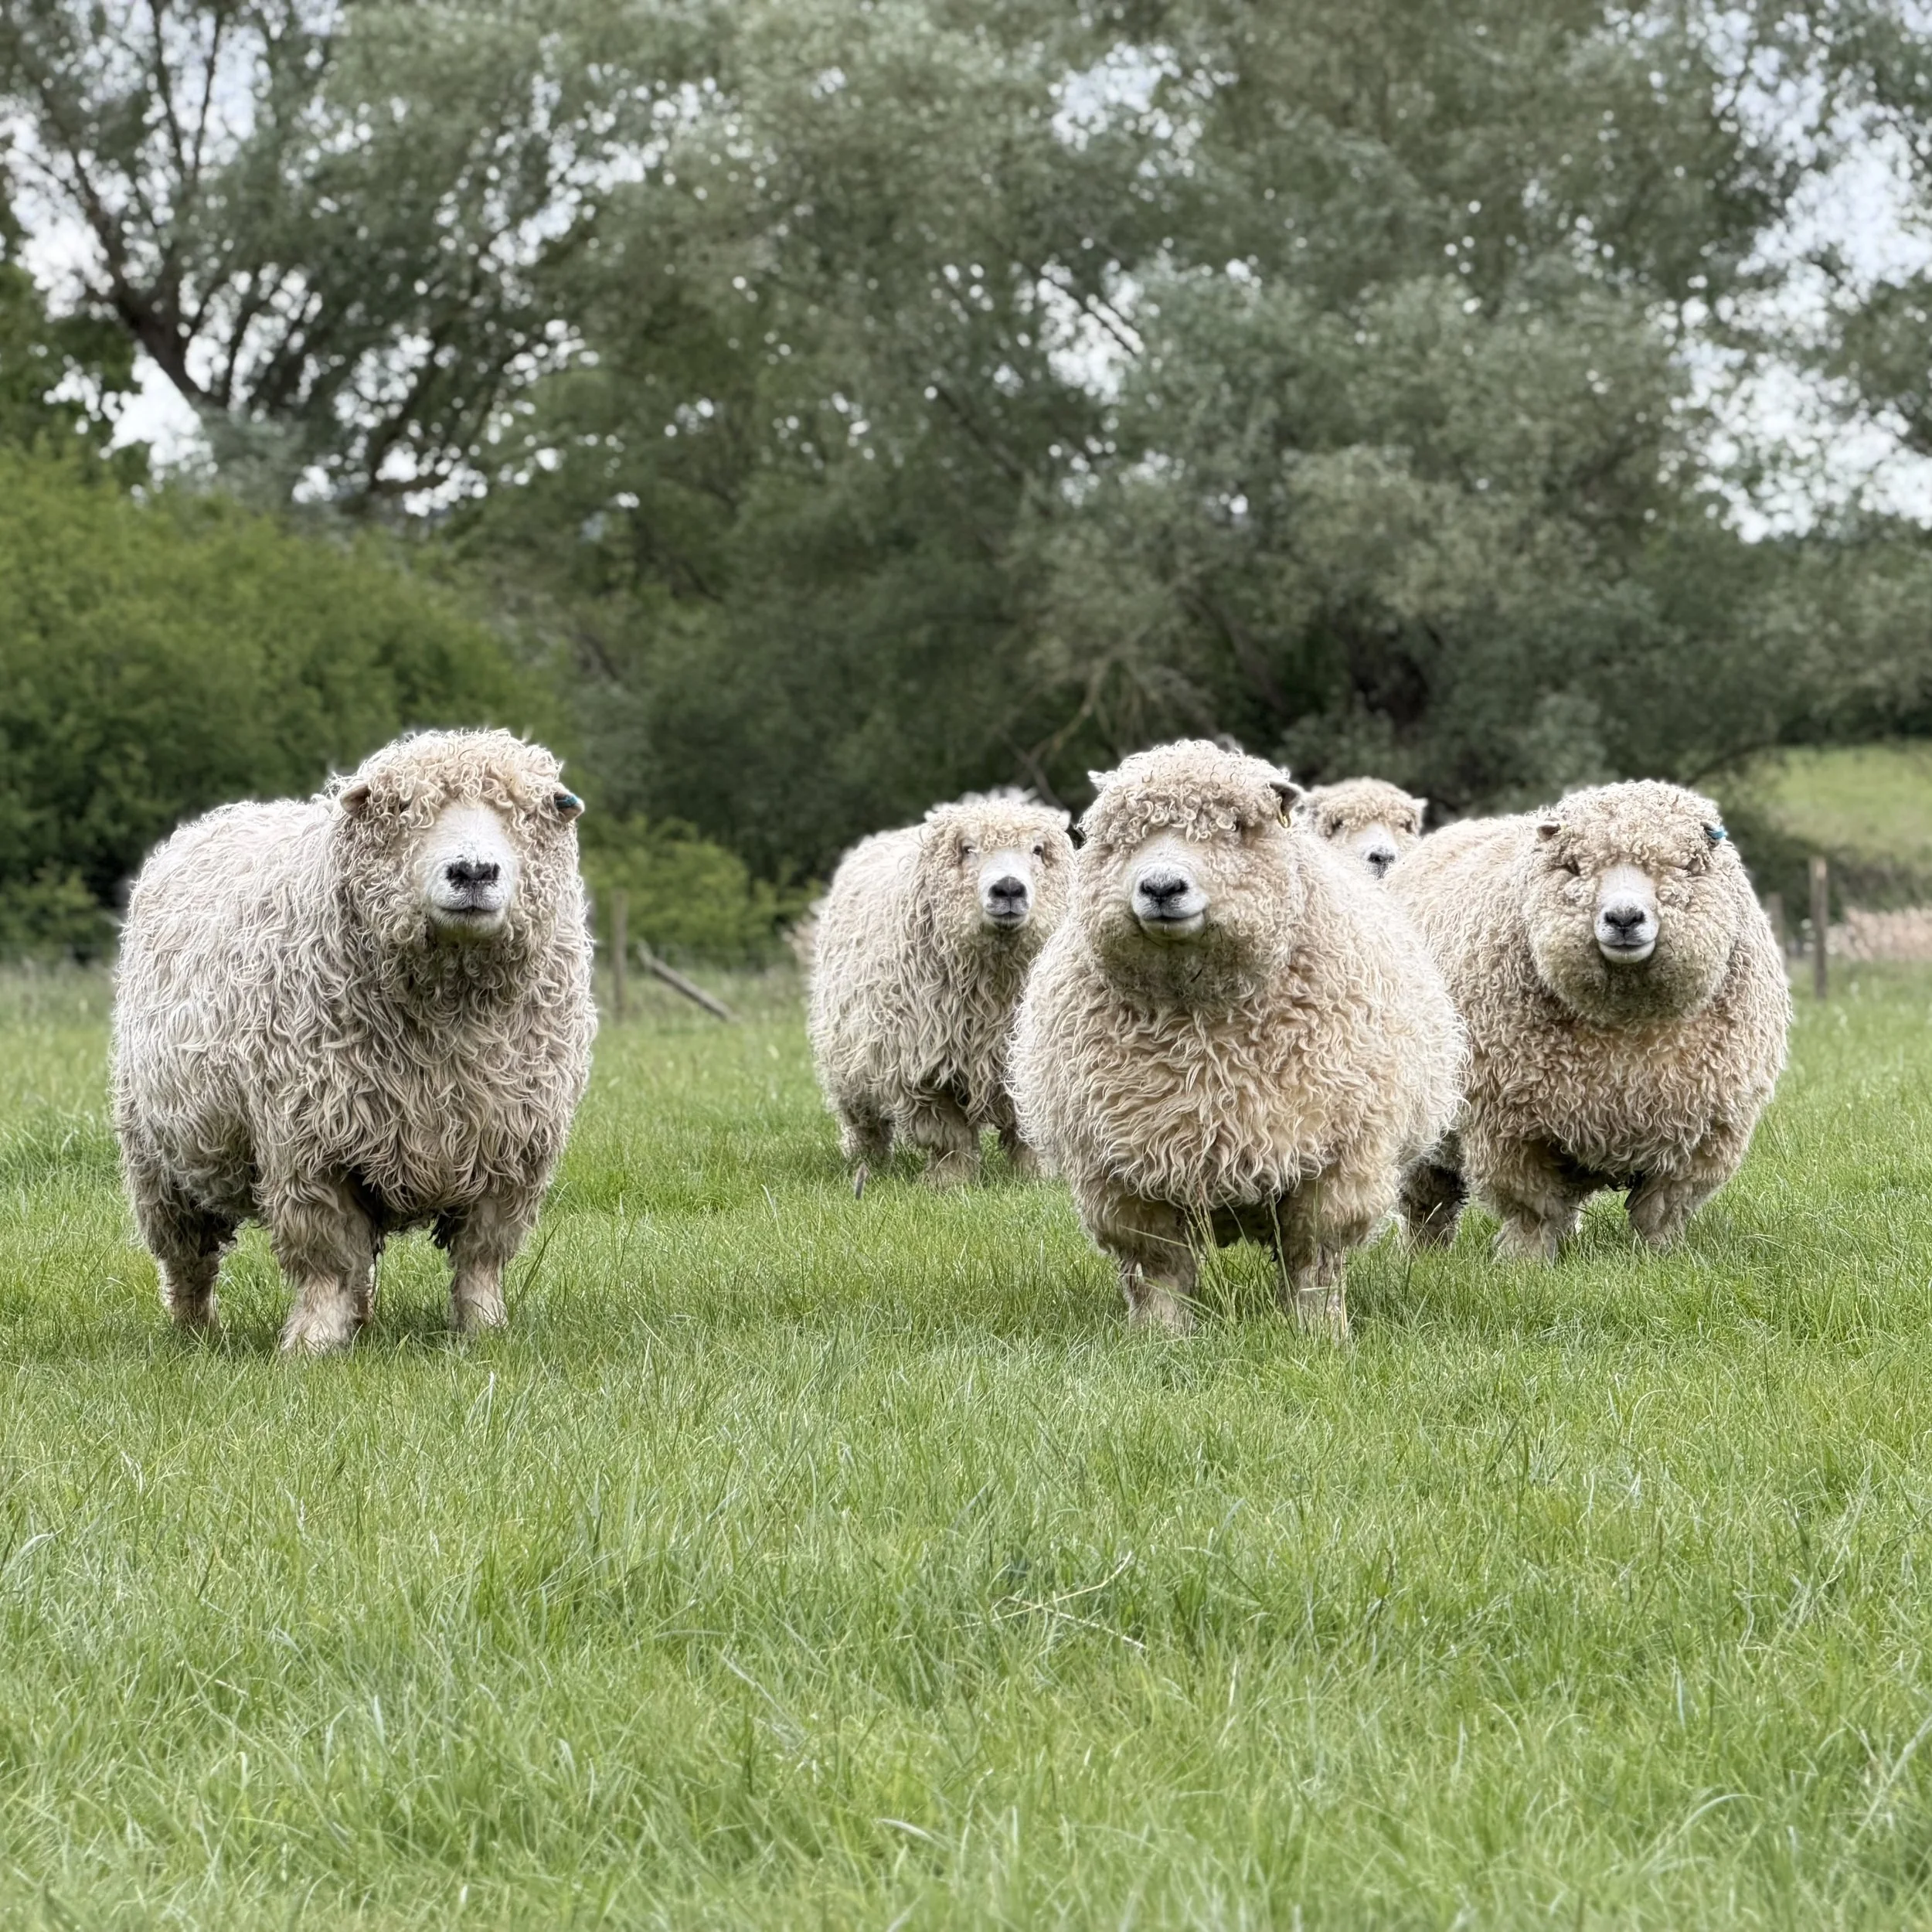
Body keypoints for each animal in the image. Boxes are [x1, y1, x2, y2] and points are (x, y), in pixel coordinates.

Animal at [113, 729, 597, 1353]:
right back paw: (197, 1331)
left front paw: (485, 1332)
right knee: (189, 1260)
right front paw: (311, 1344)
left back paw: (359, 1321)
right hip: (157, 1157)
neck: (449, 1020)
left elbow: (481, 1259)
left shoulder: (511, 1148)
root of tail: (228, 816)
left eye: (527, 812)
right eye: (402, 808)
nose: (473, 871)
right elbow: (325, 1259)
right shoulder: (310, 1146)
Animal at [807, 791, 1074, 1191]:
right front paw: (950, 1181)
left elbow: (1027, 1129)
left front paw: (1036, 1176)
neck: (991, 994)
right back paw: (866, 1161)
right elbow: (946, 1135)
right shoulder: (922, 1069)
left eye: (1038, 850)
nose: (1009, 888)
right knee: (864, 1122)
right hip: (849, 1058)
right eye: (967, 849)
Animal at [1386, 779, 1789, 1259]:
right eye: (1574, 867)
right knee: (1428, 1202)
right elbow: (1532, 1210)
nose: (1624, 918)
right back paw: (1424, 1255)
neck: (1628, 1021)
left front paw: (1661, 1258)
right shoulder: (1509, 1130)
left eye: (1686, 866)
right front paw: (1524, 1263)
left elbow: (1661, 1211)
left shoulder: (1703, 1136)